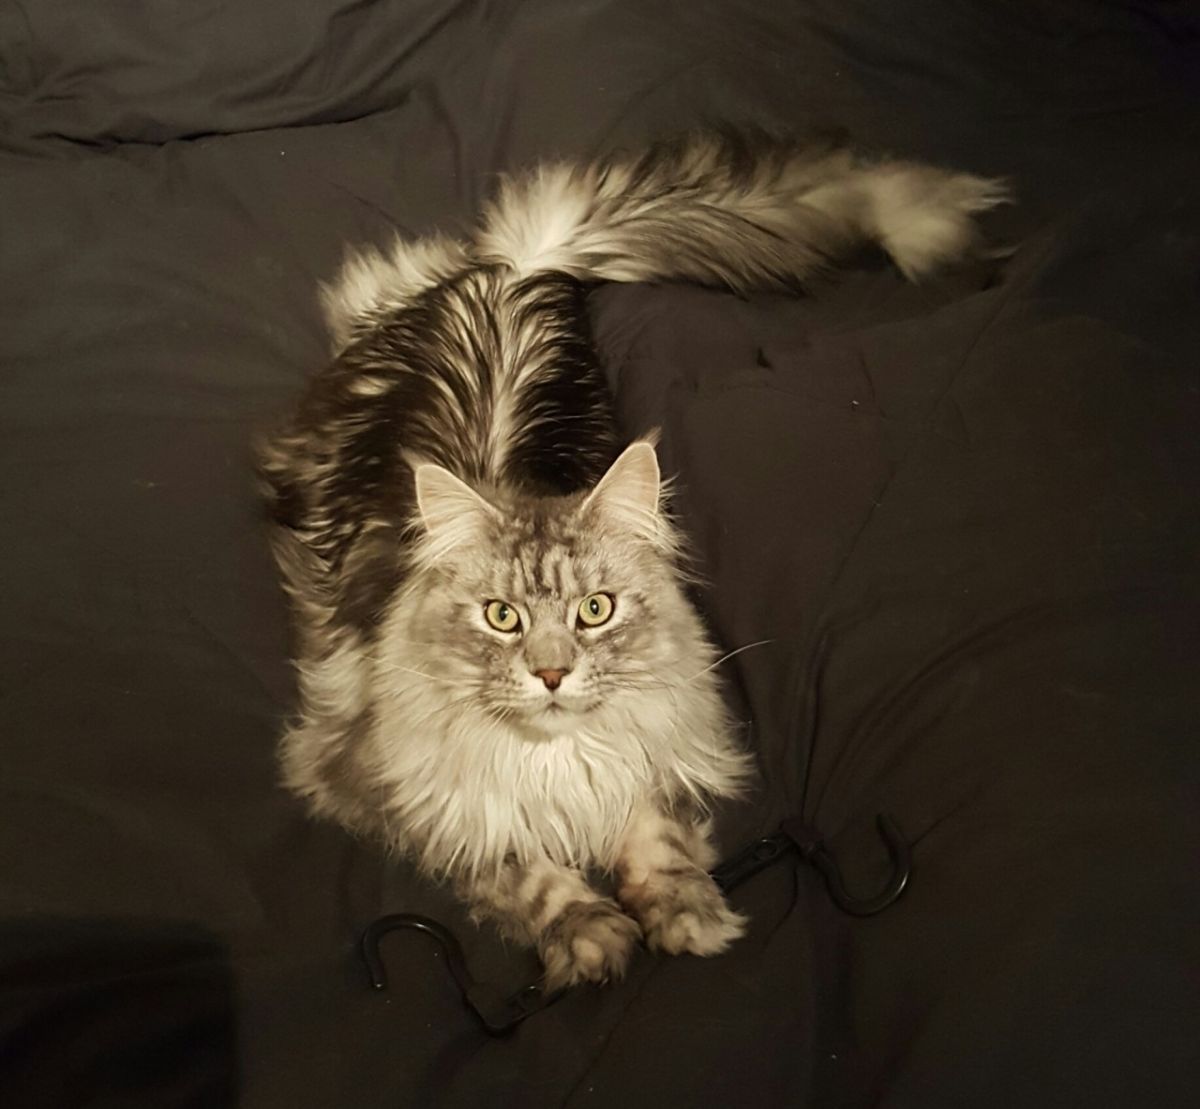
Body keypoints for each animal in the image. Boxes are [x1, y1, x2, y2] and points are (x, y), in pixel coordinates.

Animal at [260, 130, 1003, 988]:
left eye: (595, 609)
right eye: (502, 617)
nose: (552, 673)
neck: (557, 758)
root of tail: (519, 270)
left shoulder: (658, 749)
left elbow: (656, 832)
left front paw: (687, 913)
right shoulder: (389, 786)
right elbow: (520, 868)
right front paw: (591, 934)